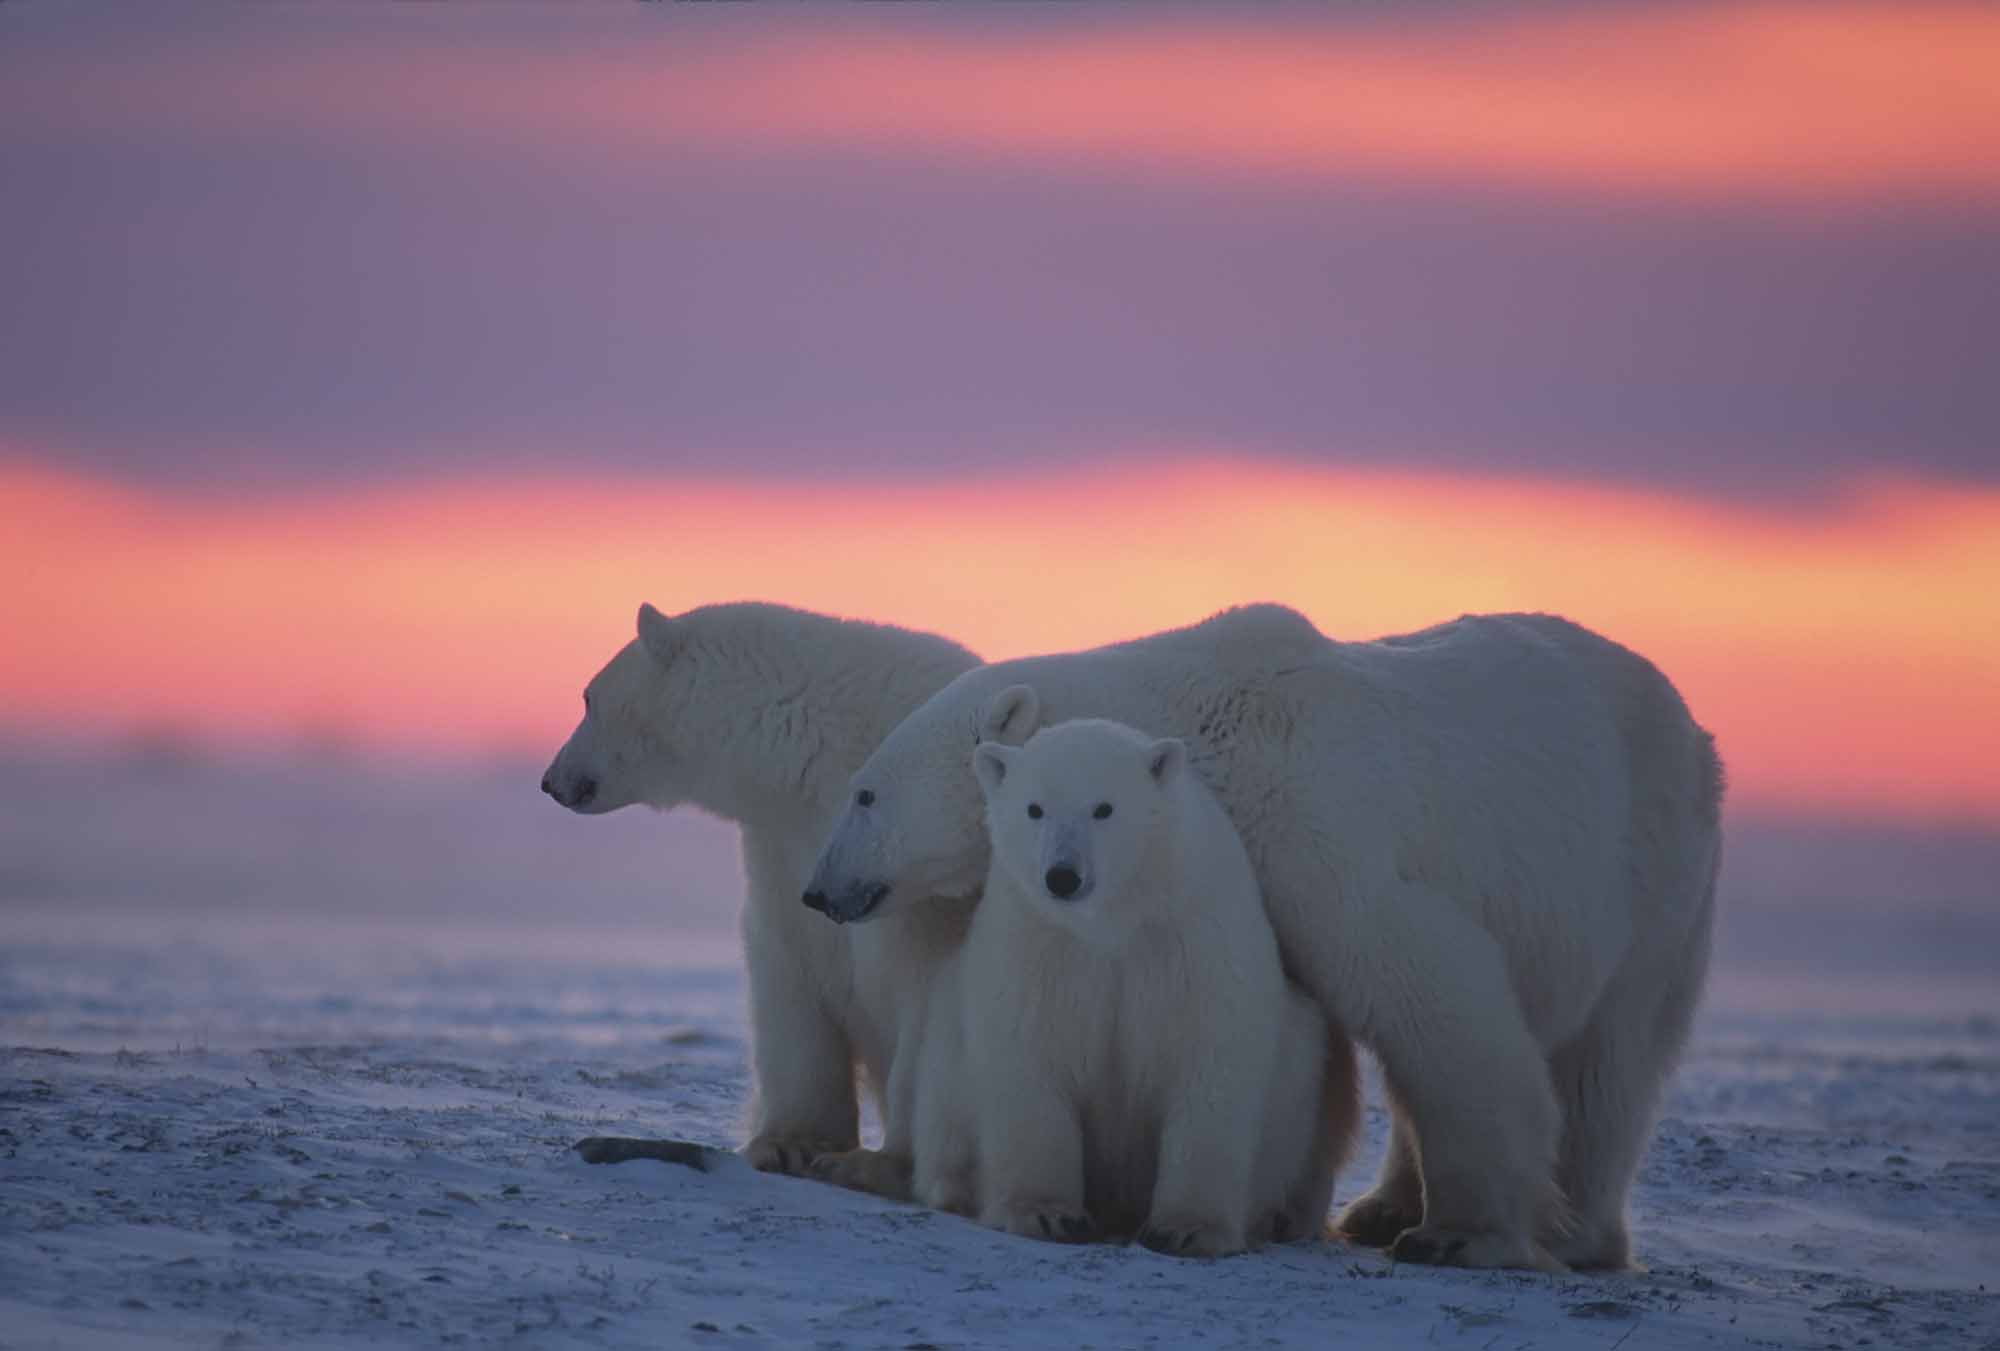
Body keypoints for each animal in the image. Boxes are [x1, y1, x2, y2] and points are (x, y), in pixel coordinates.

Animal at [544, 603, 980, 1175]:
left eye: (588, 698)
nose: (550, 780)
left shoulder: (920, 860)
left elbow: (927, 989)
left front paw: (879, 1162)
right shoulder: (784, 843)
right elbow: (788, 971)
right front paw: (791, 1142)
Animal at [940, 719, 1352, 1255]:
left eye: (1104, 808)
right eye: (1034, 808)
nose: (1063, 876)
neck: (1115, 922)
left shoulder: (1193, 939)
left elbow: (1210, 1063)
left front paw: (1186, 1229)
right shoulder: (1039, 943)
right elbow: (1030, 1053)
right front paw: (1047, 1214)